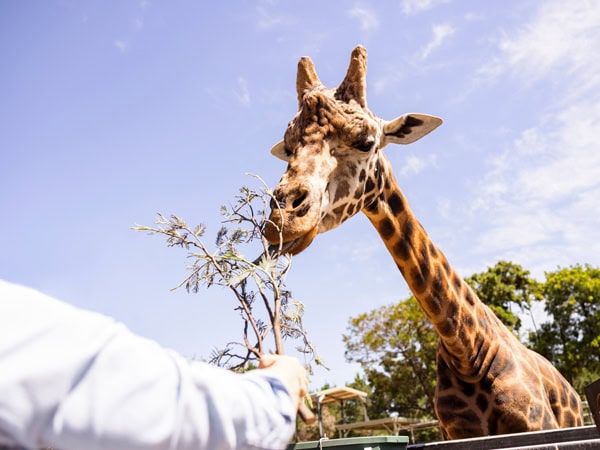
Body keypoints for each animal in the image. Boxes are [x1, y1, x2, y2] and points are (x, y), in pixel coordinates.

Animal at [262, 46, 580, 440]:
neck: (468, 350)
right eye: (289, 147)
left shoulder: (536, 427)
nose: (282, 219)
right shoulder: (454, 433)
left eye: (367, 142)